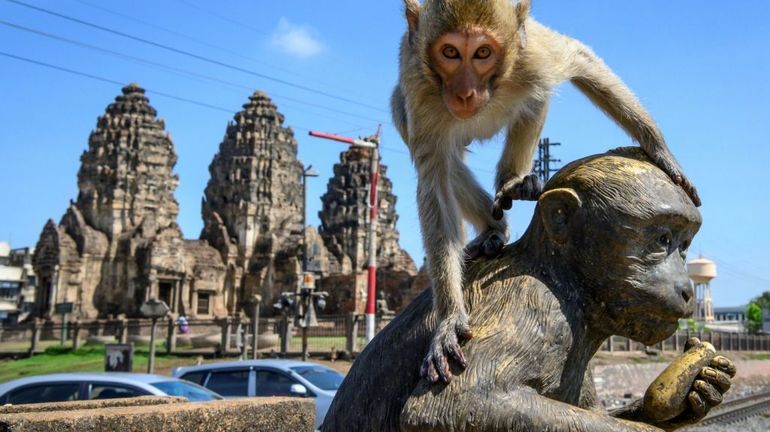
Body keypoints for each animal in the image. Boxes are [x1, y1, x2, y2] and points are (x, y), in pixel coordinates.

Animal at [390, 0, 696, 384]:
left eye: (482, 53)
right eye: (450, 53)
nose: (464, 93)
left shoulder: (533, 57)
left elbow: (580, 59)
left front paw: (660, 150)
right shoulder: (420, 88)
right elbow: (435, 182)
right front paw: (448, 320)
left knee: (535, 98)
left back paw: (513, 181)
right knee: (438, 151)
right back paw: (493, 228)